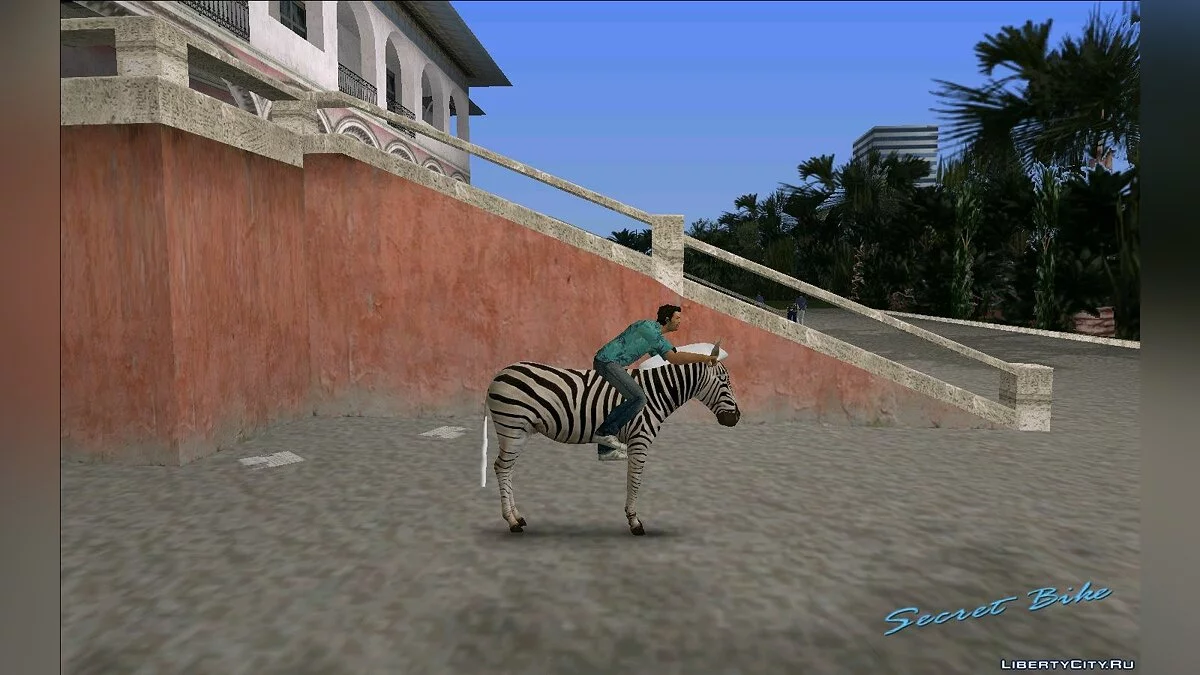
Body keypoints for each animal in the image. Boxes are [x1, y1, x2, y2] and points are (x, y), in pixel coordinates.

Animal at [481, 344, 741, 536]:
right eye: (725, 382)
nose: (736, 418)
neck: (656, 393)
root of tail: (499, 374)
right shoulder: (640, 439)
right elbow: (635, 481)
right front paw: (635, 522)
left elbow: (632, 479)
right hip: (512, 428)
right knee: (502, 468)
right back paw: (512, 521)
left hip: (519, 431)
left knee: (506, 469)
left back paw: (517, 517)